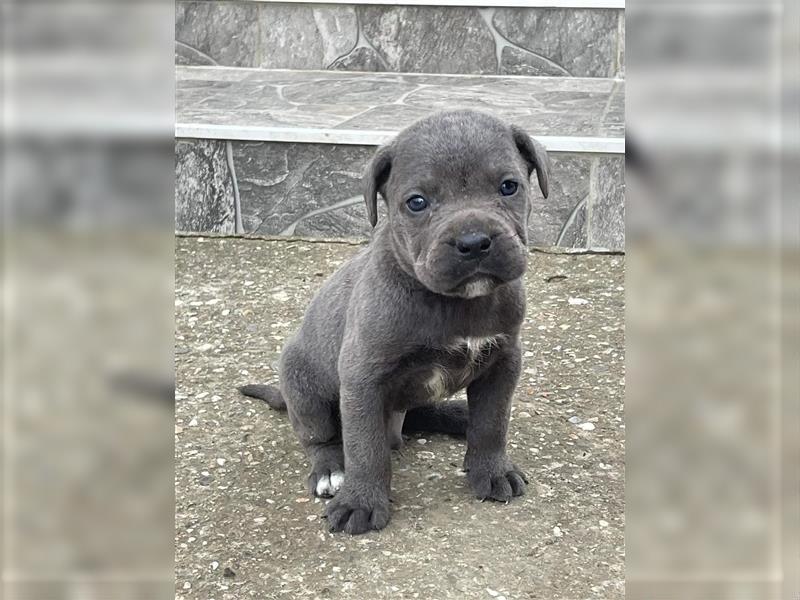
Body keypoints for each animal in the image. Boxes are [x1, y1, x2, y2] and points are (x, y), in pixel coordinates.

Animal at [239, 108, 552, 536]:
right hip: (302, 385)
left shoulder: (503, 361)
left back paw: (458, 415)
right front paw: (360, 501)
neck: (453, 303)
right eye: (416, 202)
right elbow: (365, 447)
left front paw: (491, 471)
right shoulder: (363, 378)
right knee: (321, 438)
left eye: (509, 186)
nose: (473, 242)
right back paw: (330, 471)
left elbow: (492, 422)